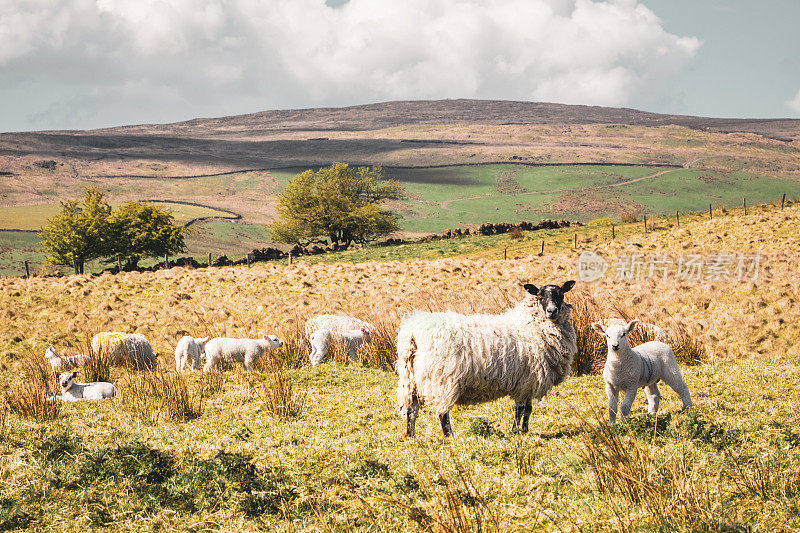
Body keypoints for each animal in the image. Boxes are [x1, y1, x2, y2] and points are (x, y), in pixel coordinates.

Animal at [396, 278, 580, 436]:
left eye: (561, 294)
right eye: (540, 296)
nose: (552, 311)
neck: (531, 324)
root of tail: (412, 331)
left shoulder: (528, 381)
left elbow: (528, 409)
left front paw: (524, 430)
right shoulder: (526, 379)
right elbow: (521, 408)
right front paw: (515, 431)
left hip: (409, 378)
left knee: (411, 409)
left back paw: (410, 436)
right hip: (442, 378)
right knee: (443, 411)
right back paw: (450, 436)